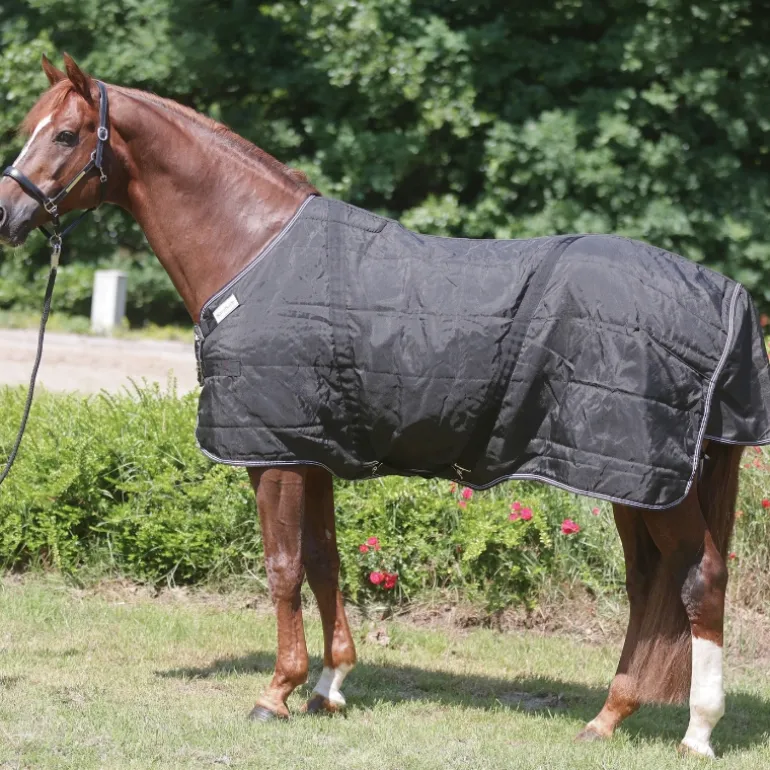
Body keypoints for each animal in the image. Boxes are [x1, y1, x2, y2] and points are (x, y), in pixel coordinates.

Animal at [0, 54, 758, 759]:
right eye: (26, 126)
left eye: (65, 133)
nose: (7, 214)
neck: (254, 249)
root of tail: (724, 296)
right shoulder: (311, 449)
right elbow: (324, 559)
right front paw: (330, 685)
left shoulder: (273, 454)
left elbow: (282, 568)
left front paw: (276, 692)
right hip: (632, 483)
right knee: (649, 584)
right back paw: (608, 717)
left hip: (646, 479)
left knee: (700, 577)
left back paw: (698, 730)